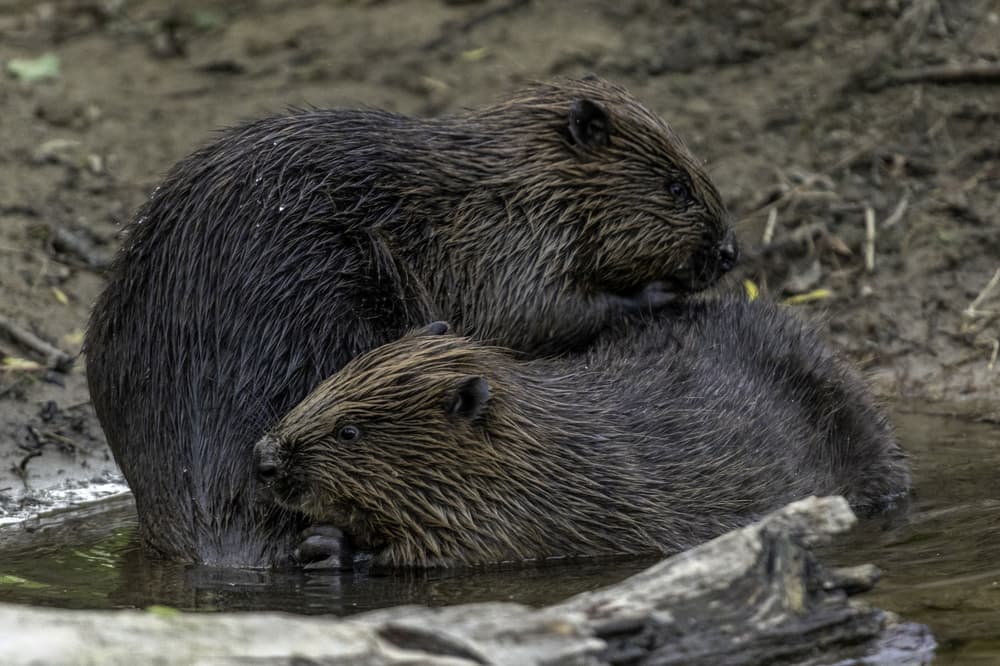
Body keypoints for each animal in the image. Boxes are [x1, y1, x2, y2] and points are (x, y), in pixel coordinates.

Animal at [86, 78, 740, 564]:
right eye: (676, 187)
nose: (730, 252)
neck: (510, 178)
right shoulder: (502, 240)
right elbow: (533, 313)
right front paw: (656, 293)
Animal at [254, 298, 912, 568]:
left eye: (349, 431)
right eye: (325, 385)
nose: (264, 458)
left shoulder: (530, 514)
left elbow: (441, 554)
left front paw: (325, 546)